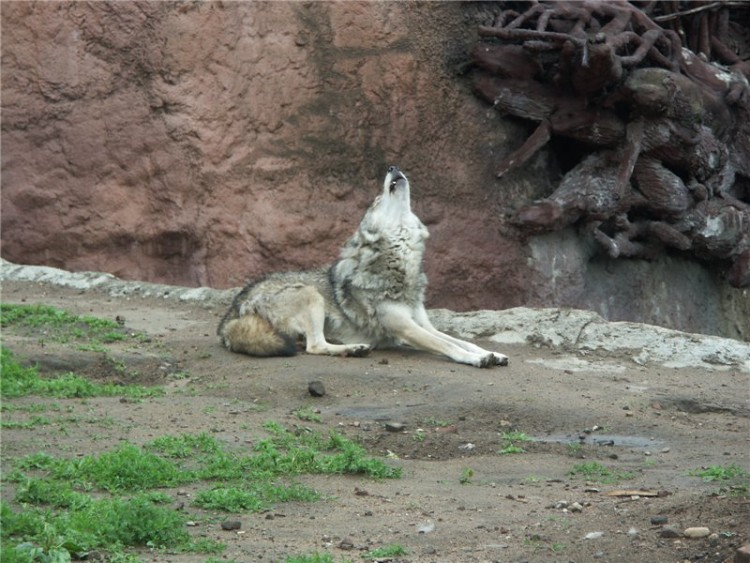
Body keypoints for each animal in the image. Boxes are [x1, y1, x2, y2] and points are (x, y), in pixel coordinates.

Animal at [217, 165, 512, 368]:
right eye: (377, 201)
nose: (392, 166)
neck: (401, 268)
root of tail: (230, 314)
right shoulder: (407, 328)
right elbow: (447, 345)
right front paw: (475, 359)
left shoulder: (423, 324)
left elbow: (460, 340)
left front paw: (492, 353)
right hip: (310, 295)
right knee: (314, 346)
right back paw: (355, 348)